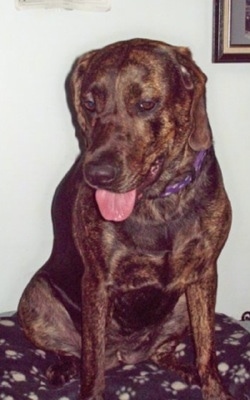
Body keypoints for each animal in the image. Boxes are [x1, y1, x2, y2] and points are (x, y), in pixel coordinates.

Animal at [18, 38, 233, 400]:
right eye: (89, 103)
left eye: (146, 104)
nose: (98, 175)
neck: (159, 203)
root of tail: (126, 356)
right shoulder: (97, 282)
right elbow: (91, 366)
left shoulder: (204, 274)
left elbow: (207, 348)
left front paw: (213, 387)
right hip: (34, 297)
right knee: (74, 351)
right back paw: (63, 366)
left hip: (180, 308)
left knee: (162, 351)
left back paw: (184, 370)